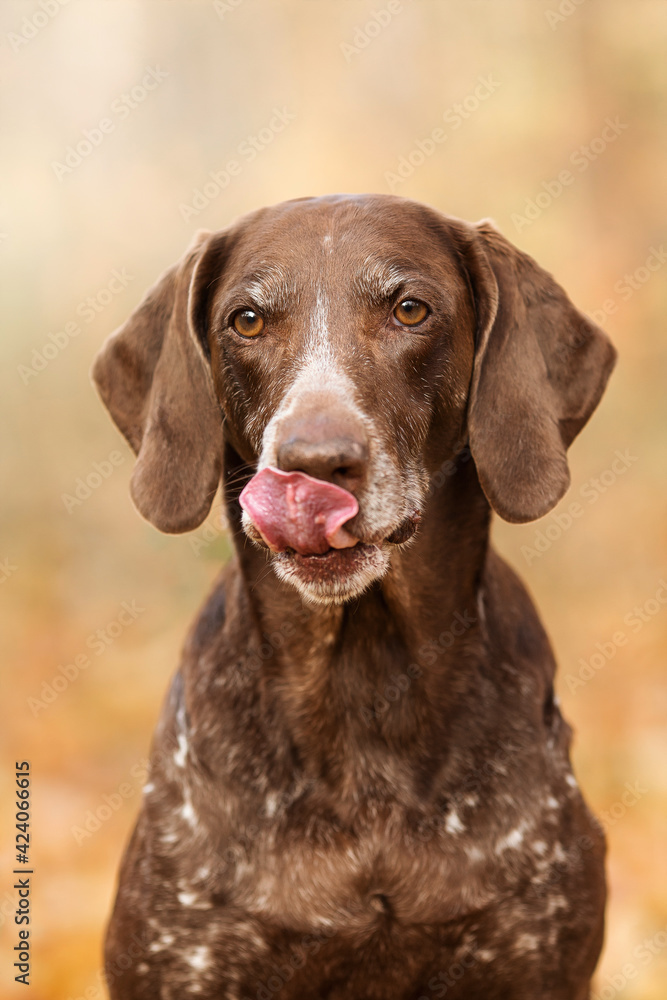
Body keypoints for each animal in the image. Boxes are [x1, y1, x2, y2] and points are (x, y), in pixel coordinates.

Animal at [92, 195, 616, 1000]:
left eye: (409, 309)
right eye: (247, 320)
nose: (313, 465)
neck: (363, 679)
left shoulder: (538, 961)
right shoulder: (185, 959)